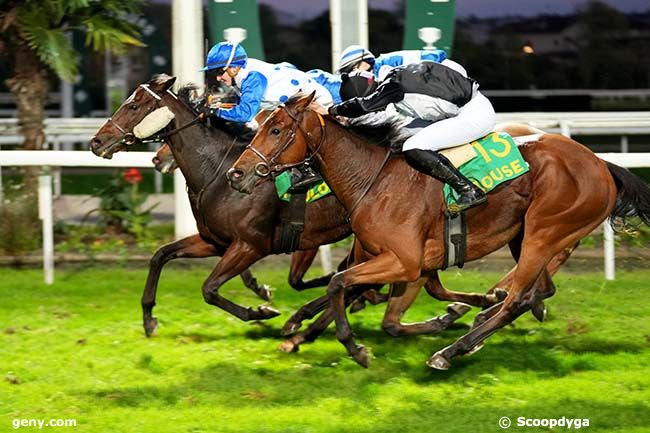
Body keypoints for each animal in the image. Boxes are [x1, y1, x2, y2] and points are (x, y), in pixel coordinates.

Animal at [227, 92, 648, 368]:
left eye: (277, 129)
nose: (237, 173)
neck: (374, 179)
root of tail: (601, 164)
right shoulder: (392, 261)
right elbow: (358, 298)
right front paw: (301, 332)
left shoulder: (405, 261)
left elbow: (337, 284)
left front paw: (353, 347)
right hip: (529, 236)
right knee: (536, 291)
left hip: (545, 232)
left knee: (517, 299)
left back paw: (451, 351)